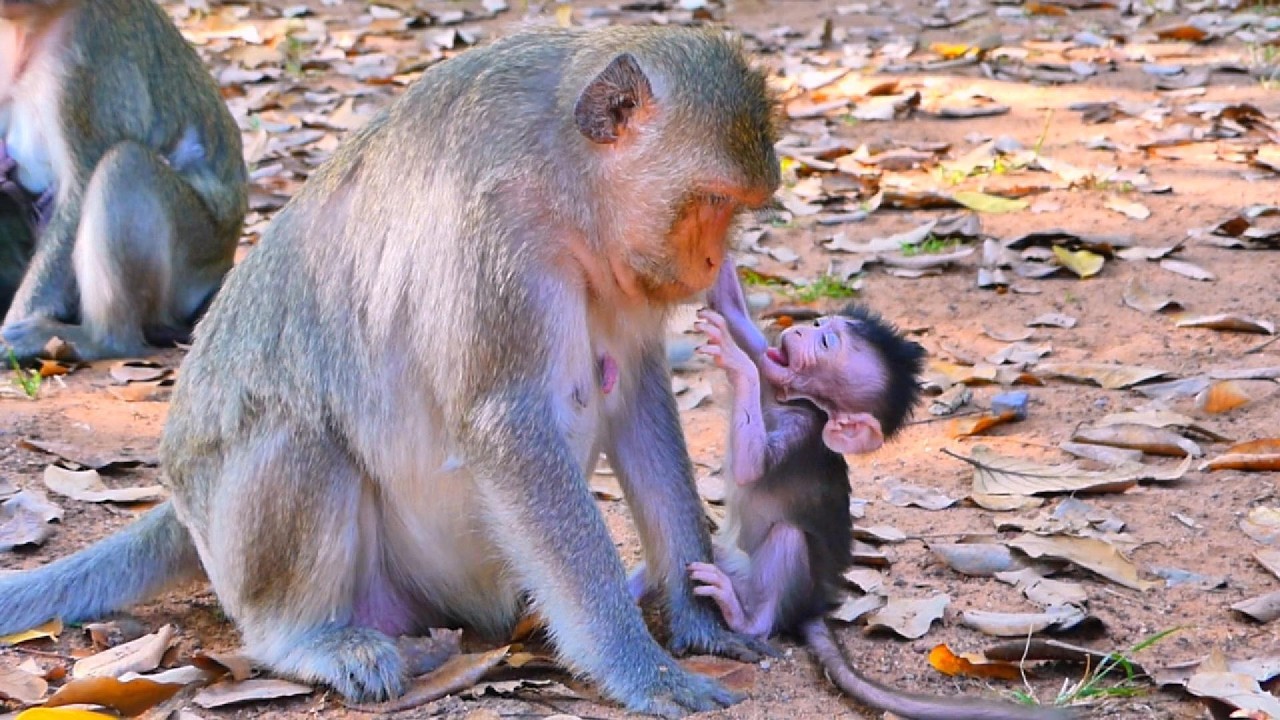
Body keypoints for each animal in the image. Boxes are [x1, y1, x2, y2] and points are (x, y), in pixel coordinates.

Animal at [672, 258, 1076, 720]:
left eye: (826, 341)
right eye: (821, 324)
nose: (805, 326)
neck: (796, 403)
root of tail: (812, 605)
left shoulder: (801, 427)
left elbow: (749, 466)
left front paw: (735, 360)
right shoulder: (775, 377)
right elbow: (738, 316)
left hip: (772, 585)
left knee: (787, 542)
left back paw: (744, 619)